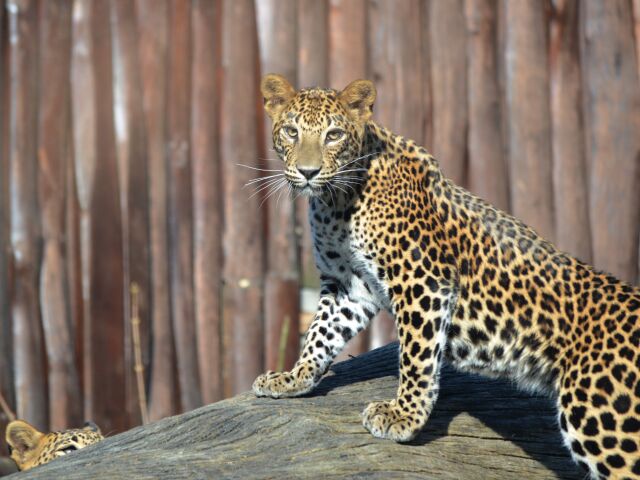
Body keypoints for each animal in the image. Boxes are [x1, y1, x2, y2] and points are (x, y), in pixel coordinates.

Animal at [252, 73, 640, 479]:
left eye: (334, 135)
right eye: (292, 132)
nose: (308, 172)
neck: (336, 202)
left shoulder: (423, 281)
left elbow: (416, 358)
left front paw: (404, 417)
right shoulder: (348, 285)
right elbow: (320, 333)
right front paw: (294, 377)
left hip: (602, 422)